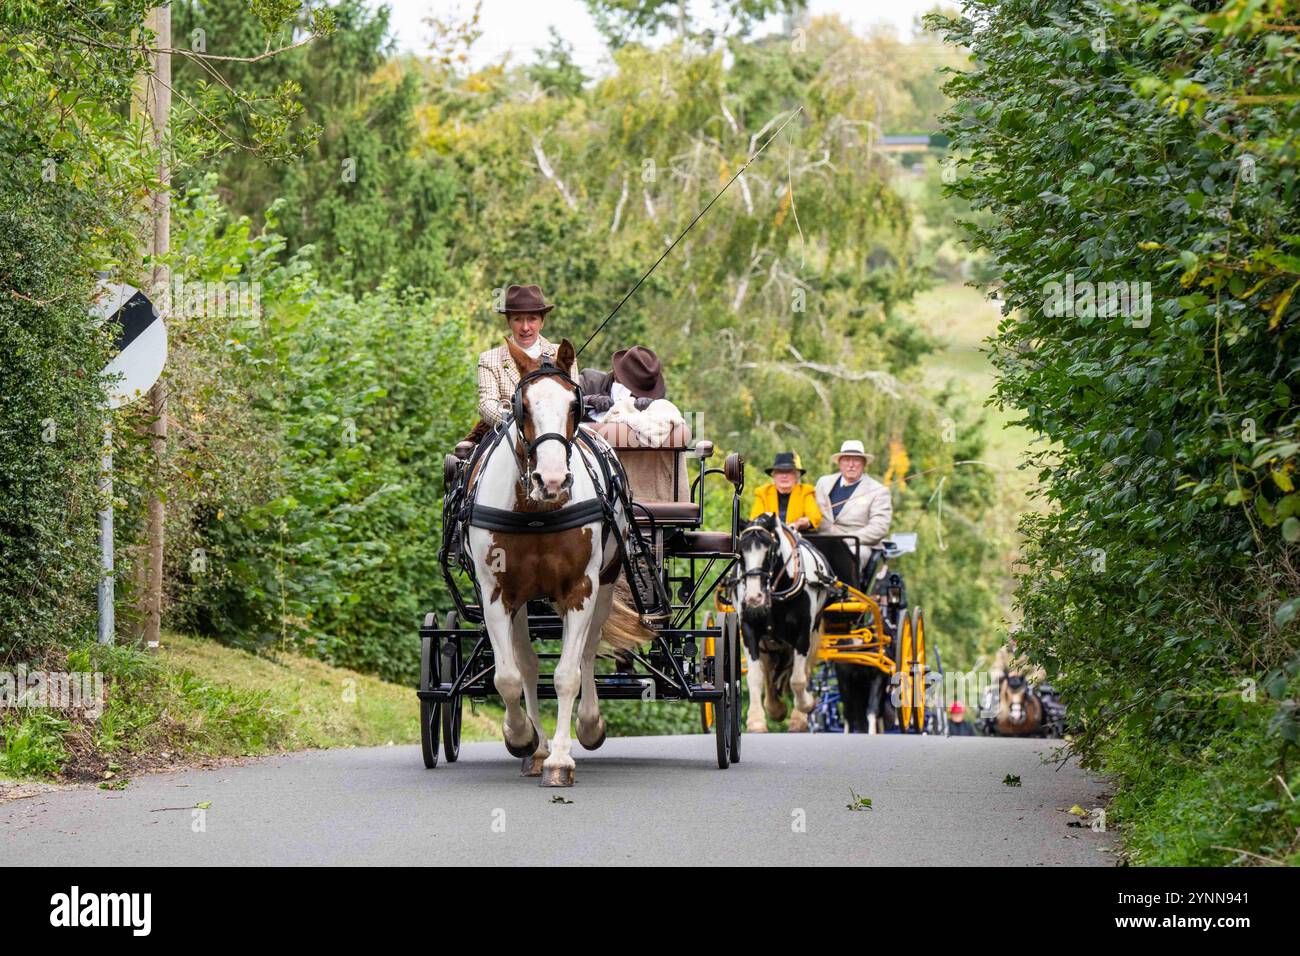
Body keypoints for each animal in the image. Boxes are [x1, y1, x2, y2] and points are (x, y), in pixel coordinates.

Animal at [467, 340, 650, 790]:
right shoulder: (495, 592)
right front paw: (523, 739)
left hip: (604, 584)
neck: (537, 511)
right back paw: (536, 748)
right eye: (522, 406)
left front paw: (562, 760)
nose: (551, 481)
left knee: (586, 652)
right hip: (521, 601)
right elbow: (508, 676)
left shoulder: (580, 588)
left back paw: (586, 726)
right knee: (528, 666)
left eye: (574, 405)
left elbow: (568, 674)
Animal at [733, 515, 832, 733]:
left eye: (769, 551)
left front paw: (804, 709)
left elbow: (798, 679)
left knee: (801, 671)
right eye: (740, 553)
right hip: (769, 641)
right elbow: (755, 676)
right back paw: (774, 707)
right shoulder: (749, 630)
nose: (753, 597)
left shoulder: (803, 633)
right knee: (769, 670)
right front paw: (756, 721)